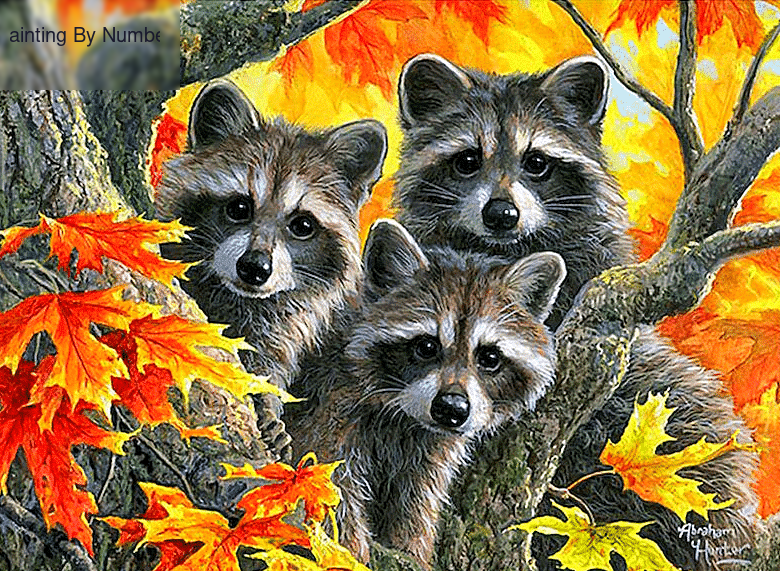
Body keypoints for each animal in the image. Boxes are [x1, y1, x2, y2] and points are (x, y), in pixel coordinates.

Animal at [286, 219, 564, 568]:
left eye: (489, 358)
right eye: (426, 347)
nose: (452, 408)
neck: (406, 418)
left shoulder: (431, 450)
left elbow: (416, 501)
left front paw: (411, 549)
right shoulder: (330, 408)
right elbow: (330, 484)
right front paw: (348, 552)